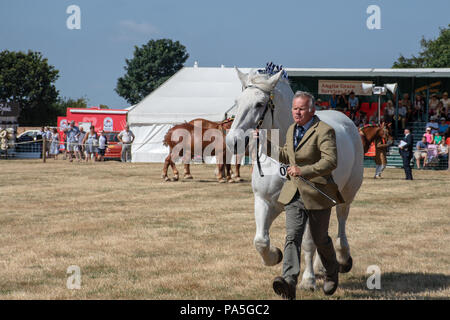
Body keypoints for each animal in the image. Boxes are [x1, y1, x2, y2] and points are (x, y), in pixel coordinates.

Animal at [227, 68, 364, 290]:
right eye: (237, 102)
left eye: (259, 104)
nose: (233, 142)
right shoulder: (265, 201)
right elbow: (260, 241)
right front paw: (275, 256)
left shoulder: (309, 205)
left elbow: (308, 243)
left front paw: (308, 280)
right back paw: (322, 267)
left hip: (347, 193)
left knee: (341, 221)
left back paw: (343, 258)